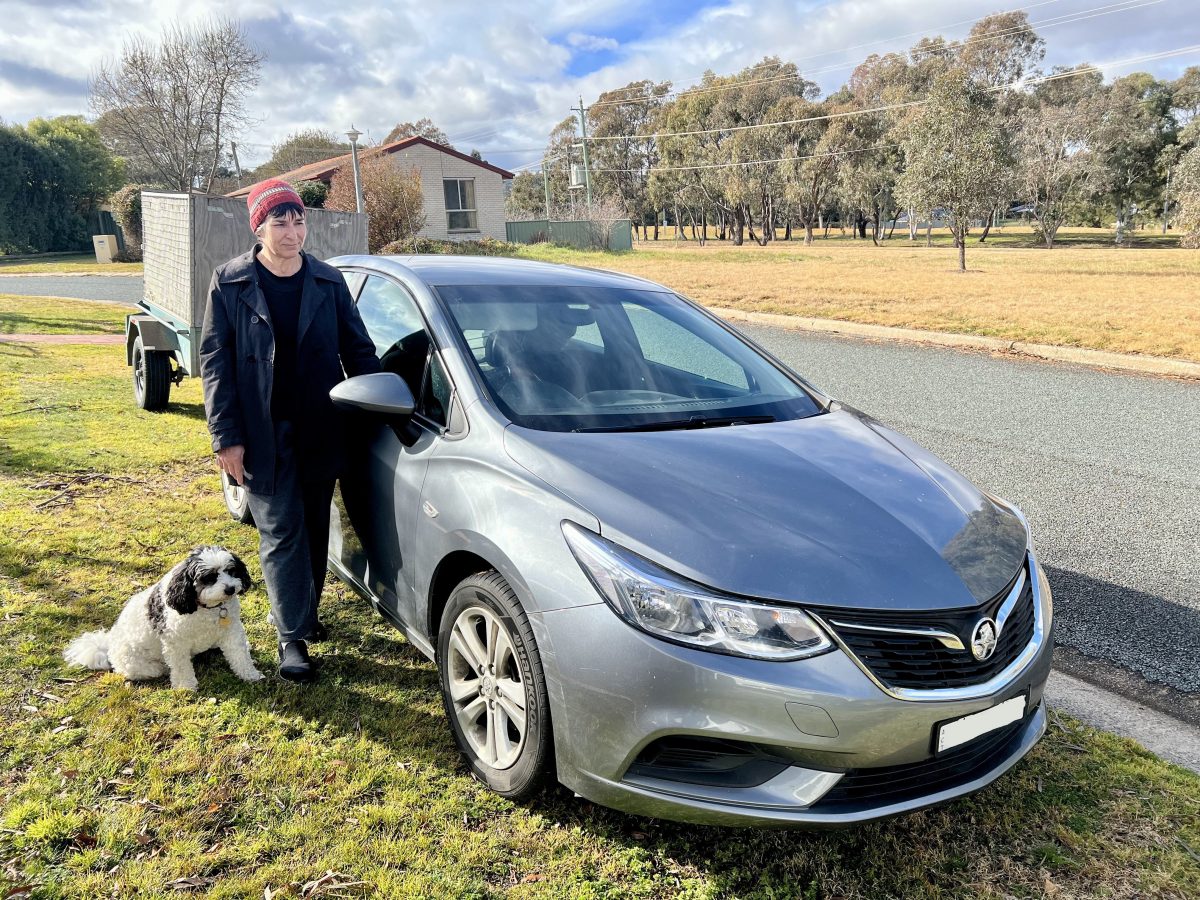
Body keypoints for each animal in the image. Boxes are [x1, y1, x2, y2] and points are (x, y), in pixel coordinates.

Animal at [63, 549, 265, 691]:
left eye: (232, 571)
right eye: (209, 577)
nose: (230, 589)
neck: (208, 607)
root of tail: (108, 646)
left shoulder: (232, 632)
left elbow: (240, 656)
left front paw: (250, 674)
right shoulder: (175, 643)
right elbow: (181, 666)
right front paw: (185, 686)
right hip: (141, 665)